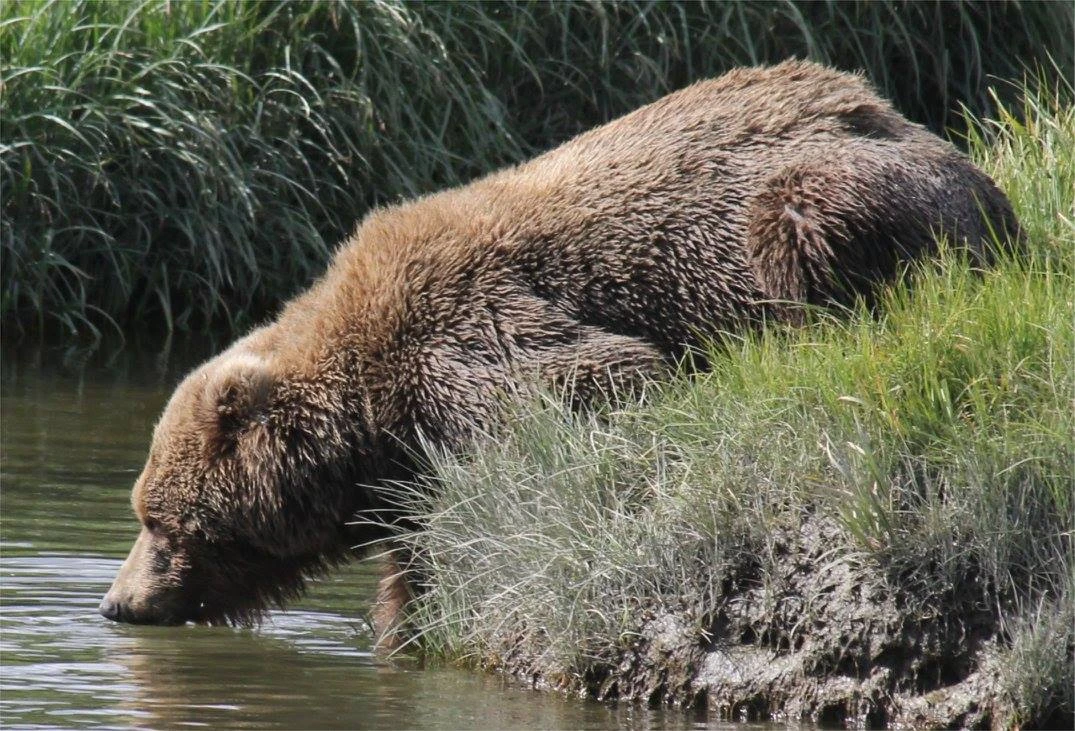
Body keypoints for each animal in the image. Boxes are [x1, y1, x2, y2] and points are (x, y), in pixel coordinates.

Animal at [99, 61, 1019, 646]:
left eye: (157, 519)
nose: (116, 602)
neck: (363, 421)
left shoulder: (464, 335)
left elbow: (596, 374)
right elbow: (410, 566)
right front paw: (400, 626)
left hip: (824, 187)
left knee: (801, 220)